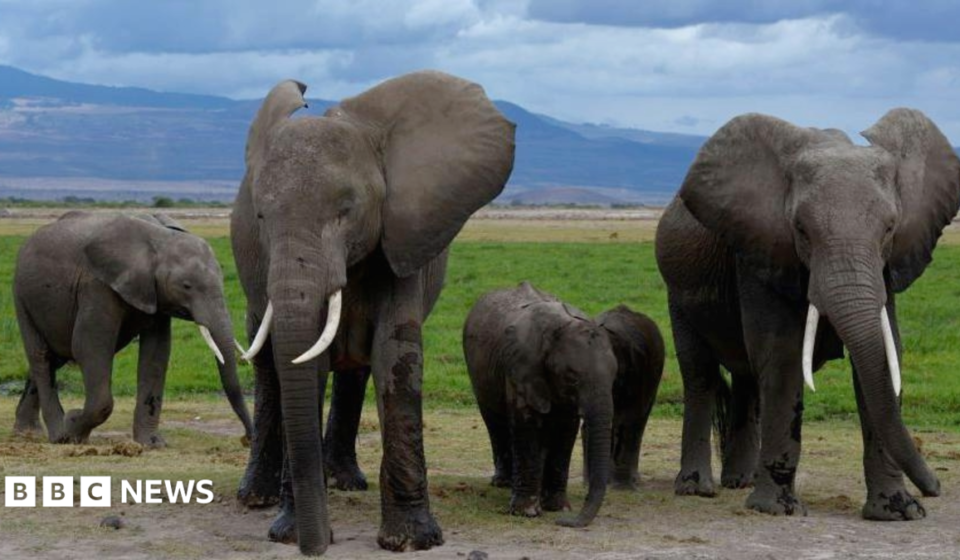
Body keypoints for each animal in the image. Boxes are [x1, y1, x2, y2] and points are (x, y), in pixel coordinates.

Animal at [12, 211, 253, 447]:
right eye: (186, 286)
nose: (247, 439)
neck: (159, 240)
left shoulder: (154, 294)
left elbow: (156, 354)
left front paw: (152, 444)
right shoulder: (97, 286)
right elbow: (89, 346)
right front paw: (73, 428)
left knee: (54, 358)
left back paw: (27, 432)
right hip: (22, 297)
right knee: (41, 357)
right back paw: (58, 434)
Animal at [231, 71, 515, 555]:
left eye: (346, 210)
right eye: (261, 217)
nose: (316, 547)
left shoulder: (402, 238)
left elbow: (394, 358)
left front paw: (412, 541)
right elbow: (306, 364)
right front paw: (288, 533)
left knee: (355, 369)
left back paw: (343, 482)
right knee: (269, 368)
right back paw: (256, 498)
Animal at [462, 283, 664, 527]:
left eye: (614, 376)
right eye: (572, 377)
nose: (565, 522)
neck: (559, 329)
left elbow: (565, 430)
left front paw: (558, 508)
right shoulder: (521, 369)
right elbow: (527, 425)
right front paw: (527, 512)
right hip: (477, 372)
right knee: (495, 422)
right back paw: (503, 483)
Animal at [655, 109, 960, 520]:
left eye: (890, 228)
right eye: (801, 229)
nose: (936, 489)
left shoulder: (884, 268)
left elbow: (881, 357)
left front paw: (898, 512)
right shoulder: (761, 249)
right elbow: (782, 355)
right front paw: (777, 510)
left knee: (748, 378)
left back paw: (741, 481)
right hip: (678, 291)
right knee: (700, 374)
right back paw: (697, 489)